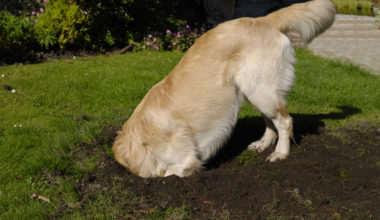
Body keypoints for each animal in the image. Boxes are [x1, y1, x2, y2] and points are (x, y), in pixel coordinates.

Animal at [113, 0, 336, 178]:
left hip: (261, 90)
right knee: (271, 122)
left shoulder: (186, 160)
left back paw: (280, 153)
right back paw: (262, 144)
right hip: (256, 91)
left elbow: (172, 172)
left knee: (285, 121)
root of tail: (262, 20)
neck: (140, 138)